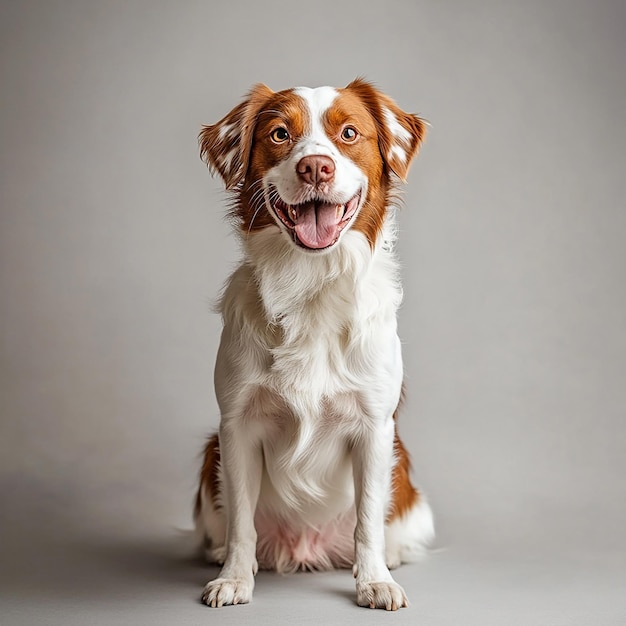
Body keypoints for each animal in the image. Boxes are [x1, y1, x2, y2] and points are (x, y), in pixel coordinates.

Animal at [193, 79, 432, 608]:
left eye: (349, 133)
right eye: (280, 134)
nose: (316, 167)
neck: (311, 284)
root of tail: (305, 549)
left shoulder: (375, 427)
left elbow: (368, 518)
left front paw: (374, 581)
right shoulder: (235, 425)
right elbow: (241, 519)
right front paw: (235, 578)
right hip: (209, 456)